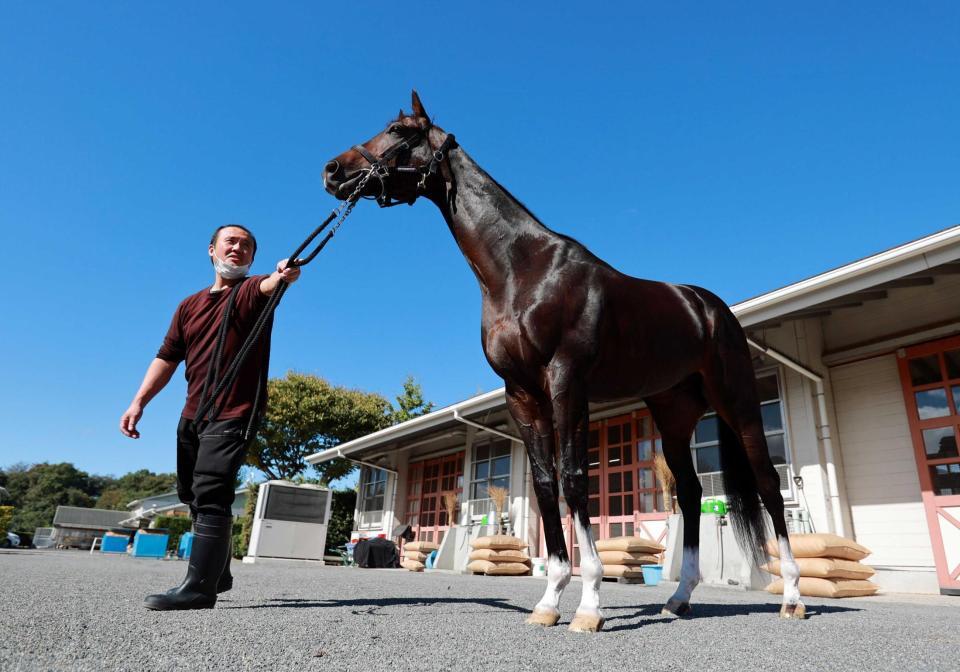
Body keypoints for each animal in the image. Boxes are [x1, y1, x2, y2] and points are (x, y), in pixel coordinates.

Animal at [322, 90, 804, 632]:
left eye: (400, 131)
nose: (332, 171)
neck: (524, 270)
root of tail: (709, 308)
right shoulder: (523, 394)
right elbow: (544, 484)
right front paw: (550, 599)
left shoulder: (566, 381)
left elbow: (575, 479)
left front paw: (589, 604)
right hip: (674, 416)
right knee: (691, 490)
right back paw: (678, 598)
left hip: (737, 401)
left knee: (767, 482)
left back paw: (792, 597)